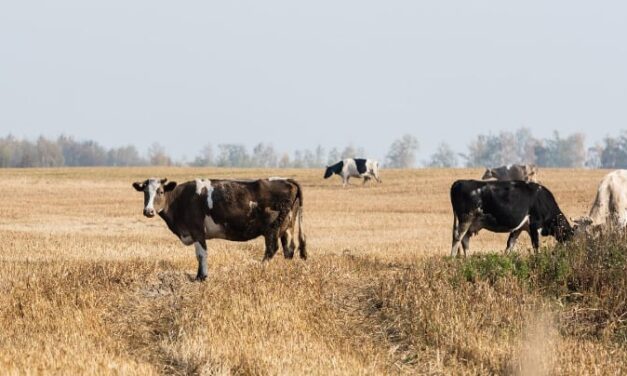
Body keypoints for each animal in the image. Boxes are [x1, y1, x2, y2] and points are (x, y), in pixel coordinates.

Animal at [132, 176, 306, 280]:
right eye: (145, 192)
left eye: (160, 191)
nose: (148, 211)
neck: (181, 199)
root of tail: (287, 180)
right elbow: (199, 256)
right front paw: (198, 276)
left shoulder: (197, 231)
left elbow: (201, 254)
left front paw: (202, 277)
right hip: (287, 228)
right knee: (289, 249)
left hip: (272, 229)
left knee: (272, 249)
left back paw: (260, 269)